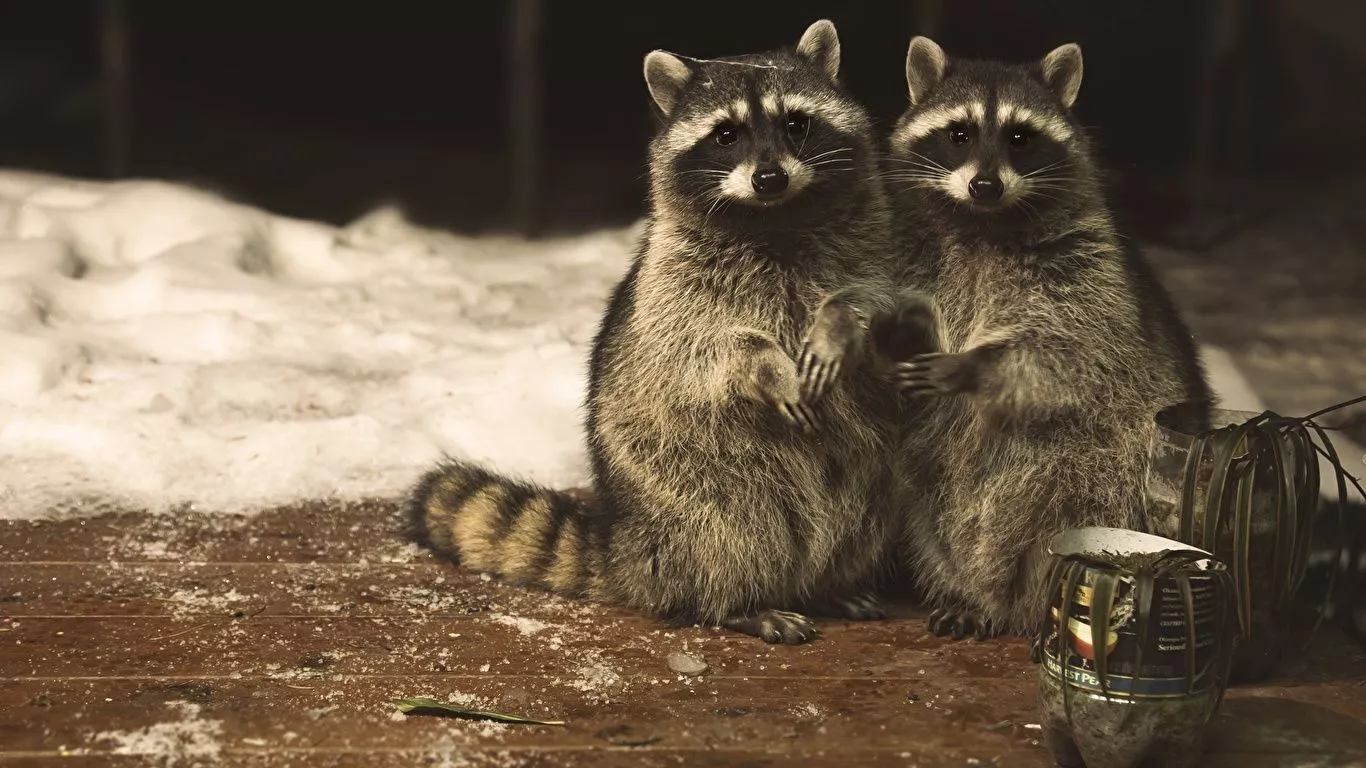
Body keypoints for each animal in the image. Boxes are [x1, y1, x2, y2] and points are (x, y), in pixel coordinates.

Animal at [408, 20, 905, 644]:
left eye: (796, 123)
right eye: (726, 135)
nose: (769, 178)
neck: (774, 217)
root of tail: (631, 541)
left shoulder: (873, 247)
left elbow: (880, 303)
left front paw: (842, 328)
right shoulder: (673, 286)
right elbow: (707, 346)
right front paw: (768, 365)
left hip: (871, 475)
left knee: (864, 511)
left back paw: (830, 586)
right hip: (685, 482)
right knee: (731, 529)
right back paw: (735, 602)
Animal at [874, 37, 1213, 639]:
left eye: (1019, 137)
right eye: (959, 134)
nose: (985, 185)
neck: (982, 223)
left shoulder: (1087, 268)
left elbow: (1067, 354)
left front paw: (975, 365)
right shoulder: (904, 250)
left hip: (1110, 470)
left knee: (1072, 499)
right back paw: (964, 588)